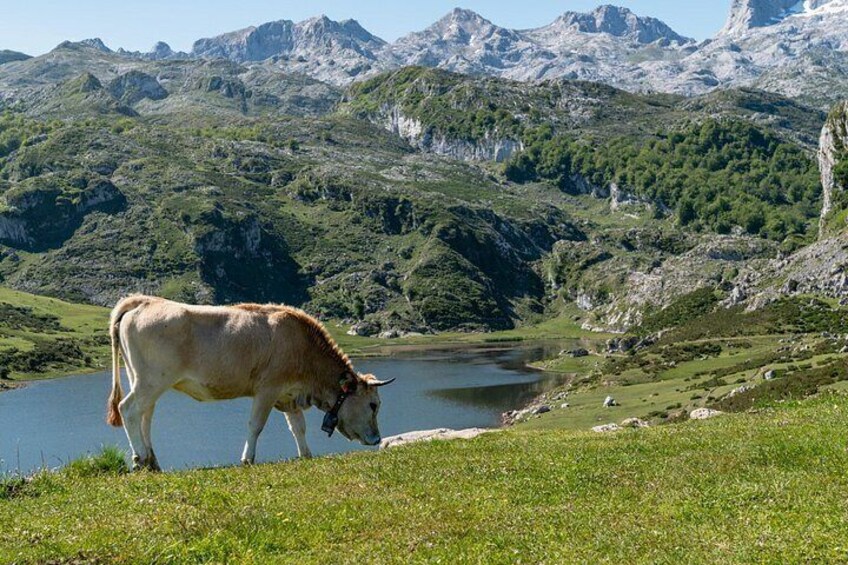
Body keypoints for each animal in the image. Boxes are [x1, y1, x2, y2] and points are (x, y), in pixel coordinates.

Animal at [106, 295, 394, 471]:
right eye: (373, 405)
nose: (377, 438)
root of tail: (144, 300)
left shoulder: (289, 396)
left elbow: (298, 428)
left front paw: (306, 455)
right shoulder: (268, 389)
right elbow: (256, 425)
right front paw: (247, 458)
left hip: (140, 379)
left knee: (145, 416)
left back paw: (151, 462)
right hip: (152, 380)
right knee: (128, 409)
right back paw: (141, 457)